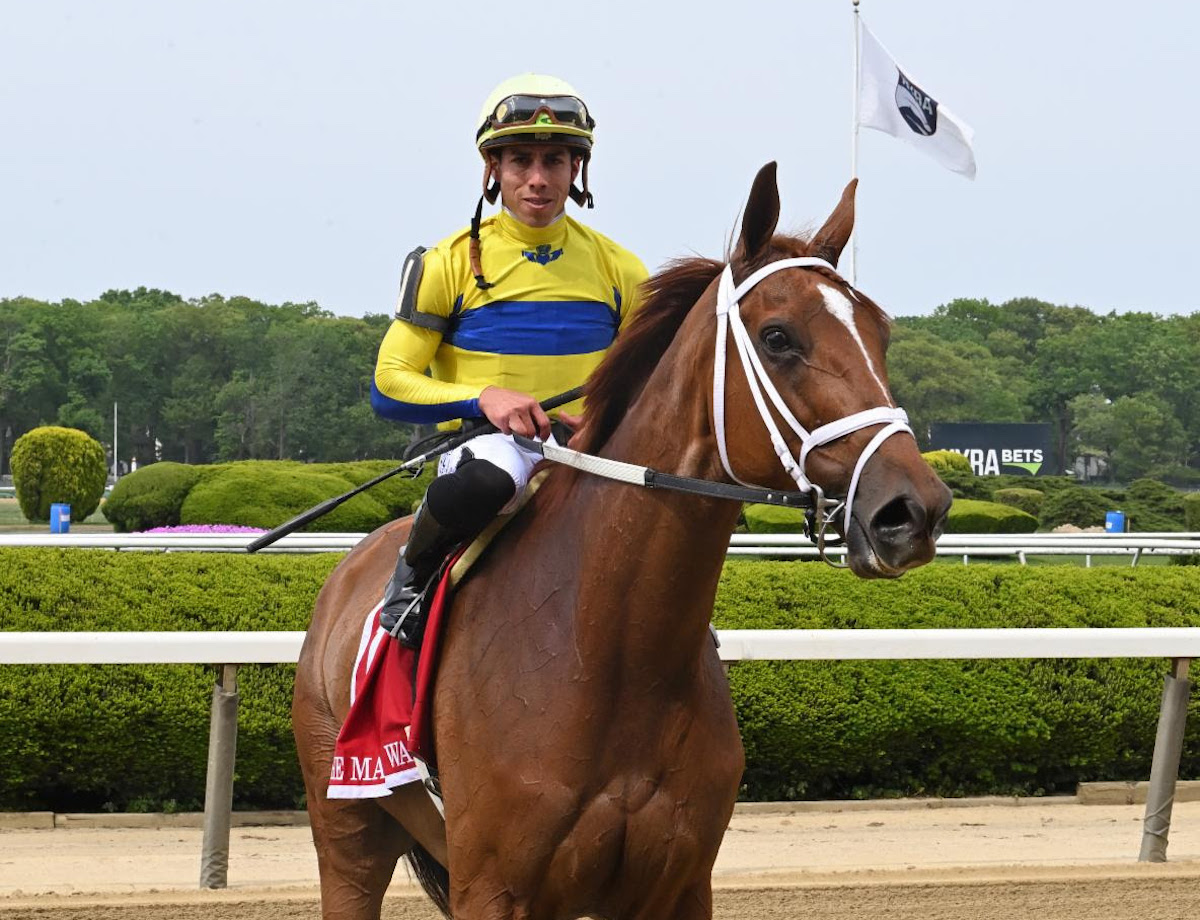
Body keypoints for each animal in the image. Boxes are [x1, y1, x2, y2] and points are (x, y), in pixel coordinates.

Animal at [290, 165, 945, 920]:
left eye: (880, 333)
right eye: (778, 337)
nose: (913, 510)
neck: (611, 649)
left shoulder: (677, 886)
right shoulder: (494, 885)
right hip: (348, 832)